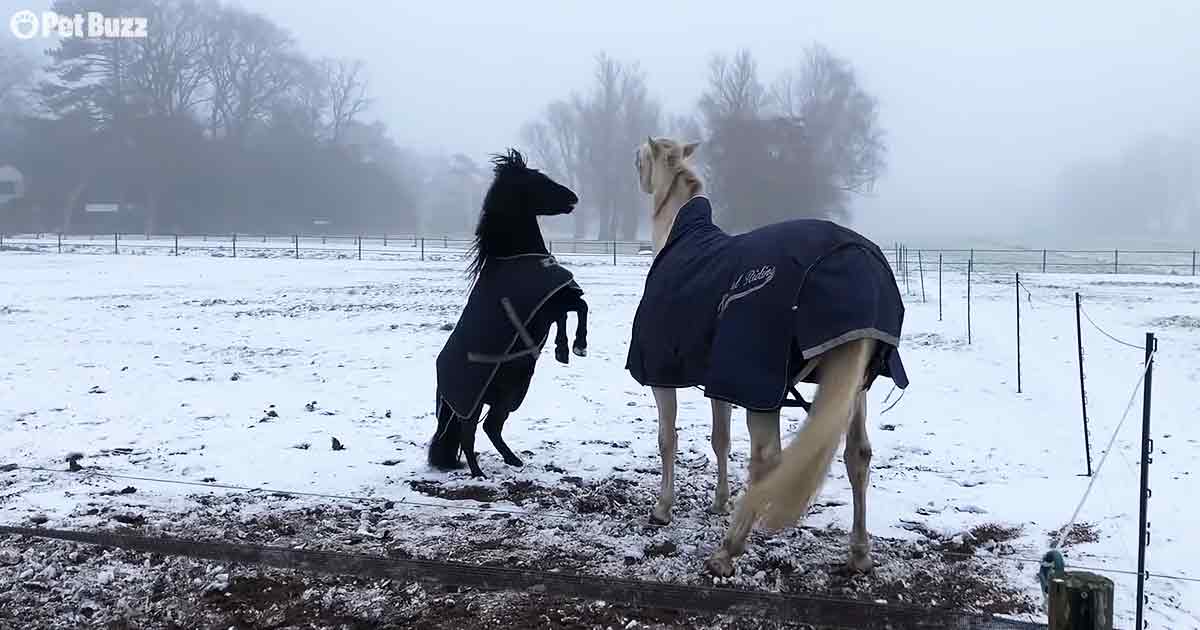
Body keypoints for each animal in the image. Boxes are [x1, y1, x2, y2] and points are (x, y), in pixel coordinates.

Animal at [429, 149, 589, 478]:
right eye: (538, 181)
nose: (573, 198)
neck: (518, 256)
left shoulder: (552, 306)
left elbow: (572, 313)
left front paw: (563, 350)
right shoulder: (551, 303)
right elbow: (580, 308)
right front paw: (578, 346)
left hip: (511, 391)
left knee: (491, 427)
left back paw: (513, 460)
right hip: (476, 401)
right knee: (469, 433)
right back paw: (479, 474)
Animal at [627, 136, 908, 577]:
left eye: (642, 158)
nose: (633, 169)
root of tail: (856, 261)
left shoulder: (663, 376)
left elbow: (667, 439)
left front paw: (663, 508)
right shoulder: (721, 381)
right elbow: (720, 440)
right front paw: (719, 502)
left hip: (763, 392)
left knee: (767, 460)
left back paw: (727, 552)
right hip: (853, 386)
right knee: (858, 456)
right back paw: (859, 553)